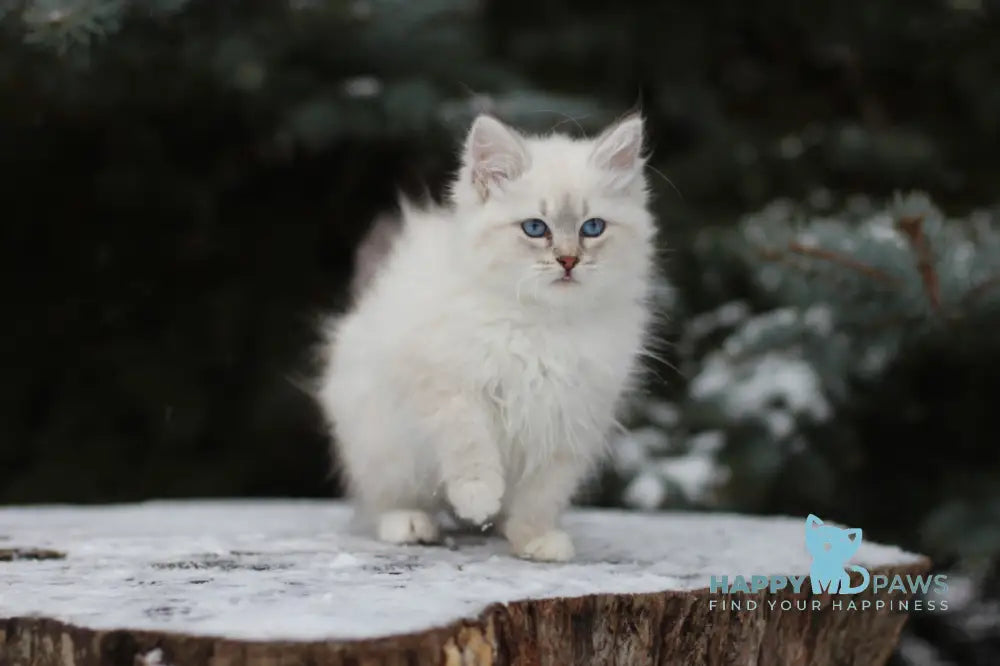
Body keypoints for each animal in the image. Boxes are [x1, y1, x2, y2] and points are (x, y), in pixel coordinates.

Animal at [320, 114, 660, 560]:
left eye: (593, 228)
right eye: (535, 228)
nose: (569, 261)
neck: (543, 323)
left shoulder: (571, 418)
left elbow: (541, 494)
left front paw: (534, 539)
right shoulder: (446, 384)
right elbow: (469, 443)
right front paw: (478, 498)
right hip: (382, 441)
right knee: (386, 498)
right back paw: (411, 524)